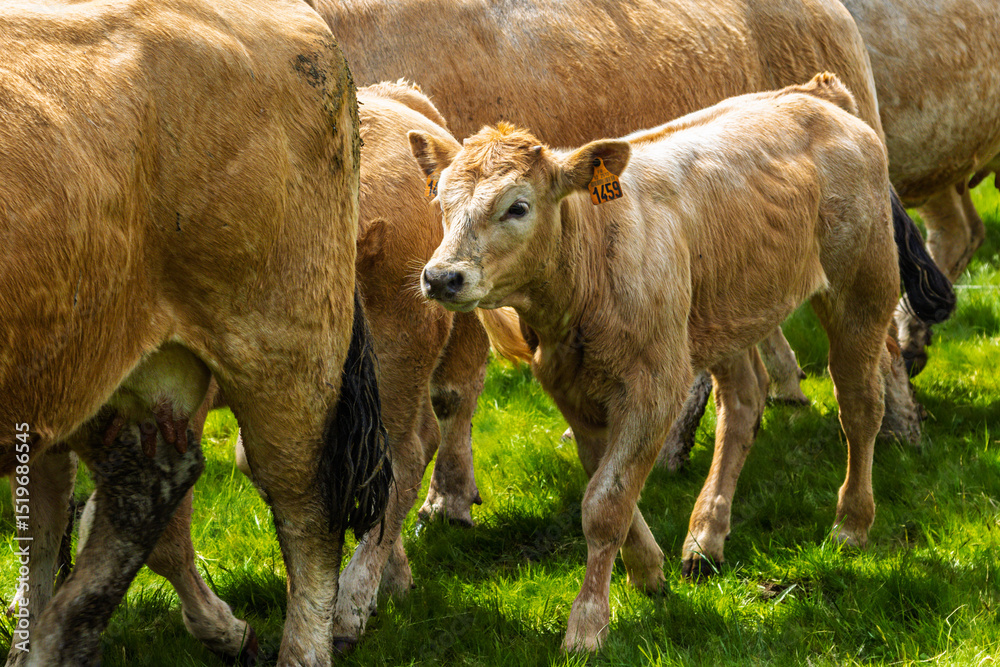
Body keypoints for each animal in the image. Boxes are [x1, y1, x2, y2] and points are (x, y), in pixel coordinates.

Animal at [414, 73, 906, 651]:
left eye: (518, 206)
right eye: (442, 202)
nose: (442, 277)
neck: (589, 268)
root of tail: (815, 94)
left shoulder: (656, 386)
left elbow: (605, 504)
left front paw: (587, 624)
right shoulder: (572, 390)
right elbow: (606, 487)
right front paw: (649, 571)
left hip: (862, 289)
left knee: (859, 406)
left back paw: (851, 524)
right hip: (725, 314)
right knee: (743, 403)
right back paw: (705, 538)